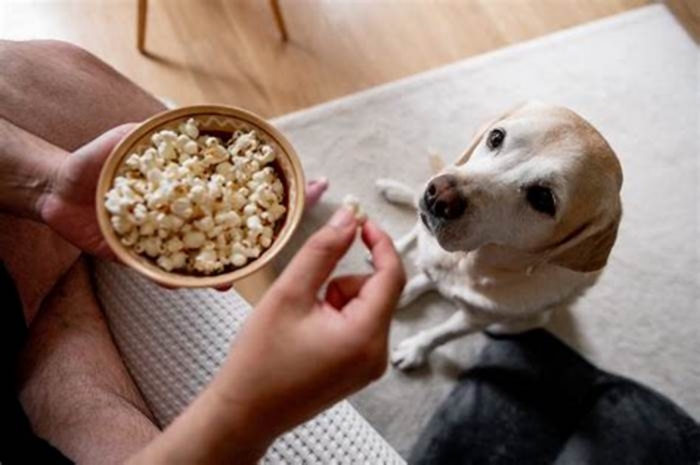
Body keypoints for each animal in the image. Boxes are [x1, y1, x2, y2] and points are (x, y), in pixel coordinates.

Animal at [378, 102, 624, 370]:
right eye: (496, 137)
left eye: (543, 198)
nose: (439, 195)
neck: (467, 261)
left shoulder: (477, 319)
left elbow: (441, 334)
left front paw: (415, 349)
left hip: (519, 322)